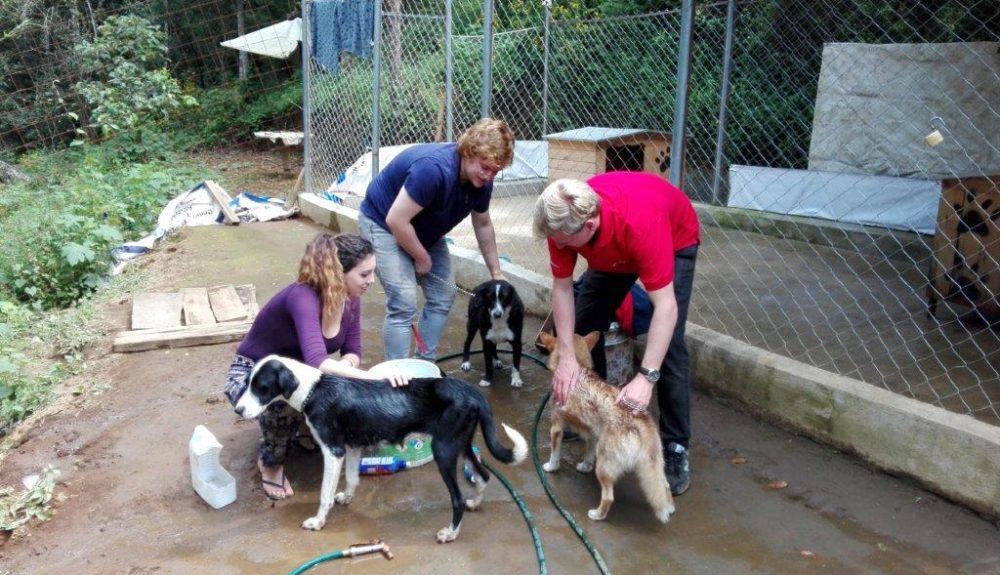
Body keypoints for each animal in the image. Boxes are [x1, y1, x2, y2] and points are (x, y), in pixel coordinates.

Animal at [235, 356, 532, 544]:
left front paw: (318, 522)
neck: (312, 390)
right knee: (483, 475)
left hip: (443, 449)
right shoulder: (352, 446)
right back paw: (475, 503)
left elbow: (324, 495)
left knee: (457, 498)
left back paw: (451, 533)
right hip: (460, 443)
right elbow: (352, 479)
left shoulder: (333, 451)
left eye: (262, 387)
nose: (237, 410)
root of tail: (471, 391)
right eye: (247, 383)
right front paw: (347, 498)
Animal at [540, 330, 672, 524]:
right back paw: (670, 508)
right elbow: (588, 454)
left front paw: (551, 467)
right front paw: (585, 466)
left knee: (609, 497)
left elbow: (554, 454)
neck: (579, 369)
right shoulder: (592, 434)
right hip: (654, 467)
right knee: (665, 486)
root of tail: (641, 420)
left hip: (603, 466)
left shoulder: (556, 427)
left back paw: (597, 515)